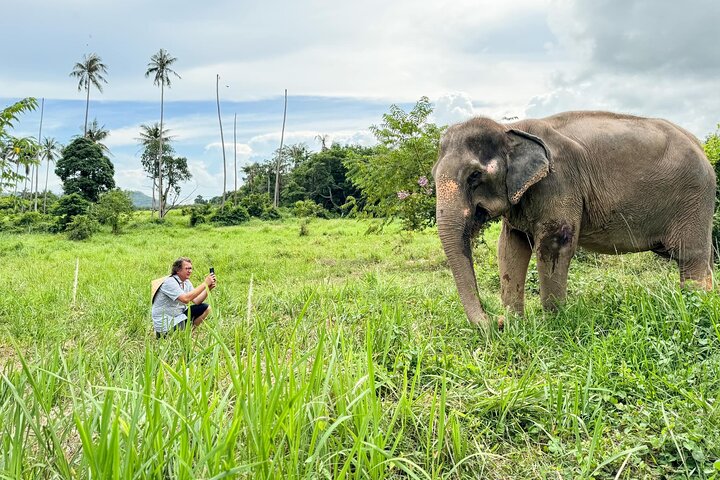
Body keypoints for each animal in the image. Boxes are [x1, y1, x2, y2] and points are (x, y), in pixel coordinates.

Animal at [432, 111, 715, 329]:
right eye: (433, 175)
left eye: (474, 175)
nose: (494, 322)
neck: (510, 130)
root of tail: (701, 147)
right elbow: (510, 247)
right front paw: (516, 324)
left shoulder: (559, 182)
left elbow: (554, 244)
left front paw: (551, 326)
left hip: (693, 200)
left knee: (690, 256)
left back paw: (694, 307)